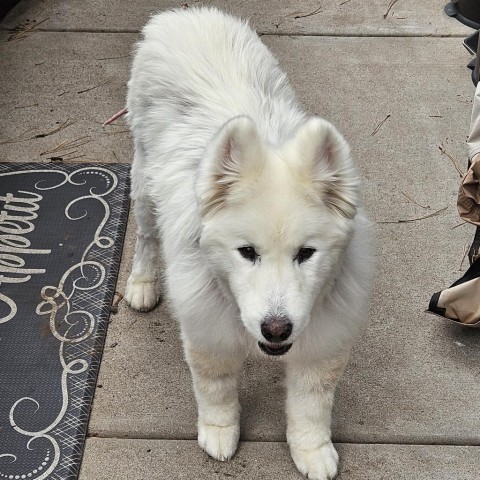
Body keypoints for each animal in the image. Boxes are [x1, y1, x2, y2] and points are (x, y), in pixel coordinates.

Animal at [125, 8, 374, 480]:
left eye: (306, 254)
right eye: (247, 253)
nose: (276, 328)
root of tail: (183, 14)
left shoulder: (322, 341)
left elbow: (312, 405)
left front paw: (312, 450)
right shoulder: (208, 331)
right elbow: (216, 389)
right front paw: (220, 432)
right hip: (144, 183)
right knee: (146, 236)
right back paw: (142, 283)